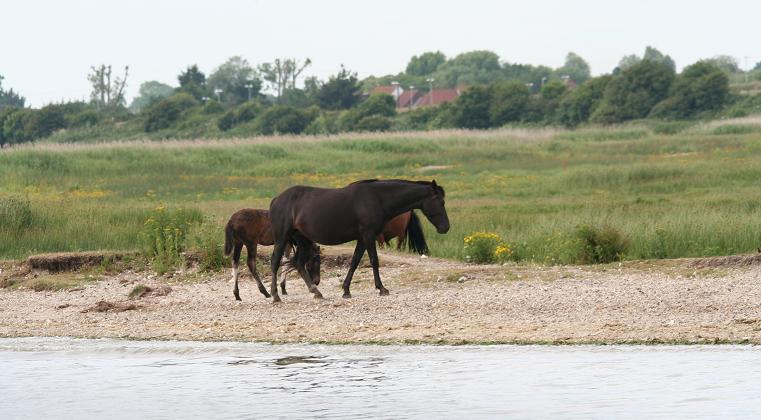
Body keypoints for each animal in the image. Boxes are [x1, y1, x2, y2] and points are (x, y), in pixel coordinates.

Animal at [268, 179, 449, 302]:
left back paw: (316, 292)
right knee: (276, 262)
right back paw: (275, 295)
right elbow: (374, 260)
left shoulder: (363, 238)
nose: (445, 227)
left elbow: (355, 261)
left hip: (302, 239)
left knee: (299, 264)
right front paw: (381, 288)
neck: (377, 199)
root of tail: (277, 199)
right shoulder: (369, 236)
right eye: (440, 202)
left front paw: (346, 290)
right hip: (282, 237)